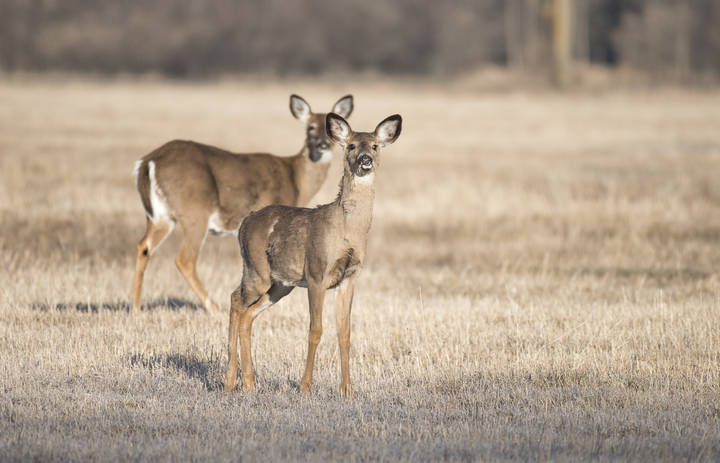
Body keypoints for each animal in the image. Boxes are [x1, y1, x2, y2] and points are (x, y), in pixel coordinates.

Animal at [131, 94, 354, 315]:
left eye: (325, 129)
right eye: (310, 127)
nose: (322, 146)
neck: (296, 179)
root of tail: (147, 162)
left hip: (160, 217)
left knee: (144, 246)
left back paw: (136, 309)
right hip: (195, 212)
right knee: (184, 258)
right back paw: (214, 308)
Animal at [224, 112, 402, 397]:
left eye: (375, 145)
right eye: (351, 146)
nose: (365, 159)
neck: (346, 230)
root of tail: (245, 222)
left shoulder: (349, 278)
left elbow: (345, 333)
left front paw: (348, 390)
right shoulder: (317, 272)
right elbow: (315, 330)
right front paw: (305, 387)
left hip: (280, 284)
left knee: (247, 314)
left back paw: (248, 384)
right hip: (256, 270)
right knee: (236, 301)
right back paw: (231, 382)